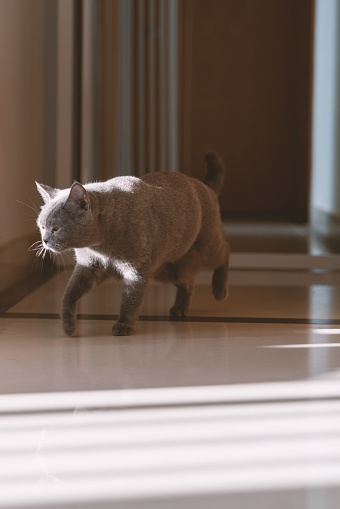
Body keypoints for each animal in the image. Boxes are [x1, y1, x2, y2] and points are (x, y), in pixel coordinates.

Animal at [35, 150, 230, 334]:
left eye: (56, 228)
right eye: (42, 226)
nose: (45, 241)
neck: (101, 246)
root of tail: (204, 185)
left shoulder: (136, 268)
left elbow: (130, 299)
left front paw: (124, 326)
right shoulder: (88, 266)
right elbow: (69, 293)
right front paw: (68, 325)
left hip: (206, 246)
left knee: (225, 253)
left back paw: (219, 292)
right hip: (168, 269)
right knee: (188, 282)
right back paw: (179, 309)